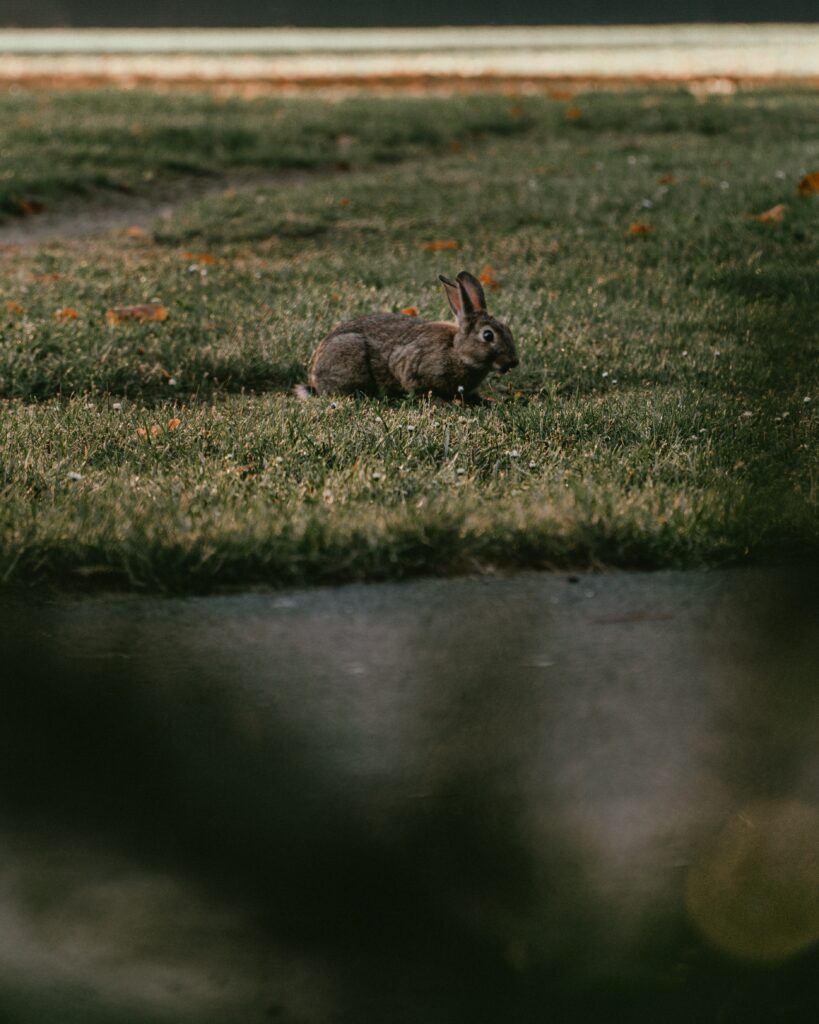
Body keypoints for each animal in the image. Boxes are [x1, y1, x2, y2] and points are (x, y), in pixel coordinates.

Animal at [297, 270, 518, 402]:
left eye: (508, 329)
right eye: (488, 335)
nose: (513, 362)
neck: (457, 351)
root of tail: (314, 374)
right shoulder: (410, 366)